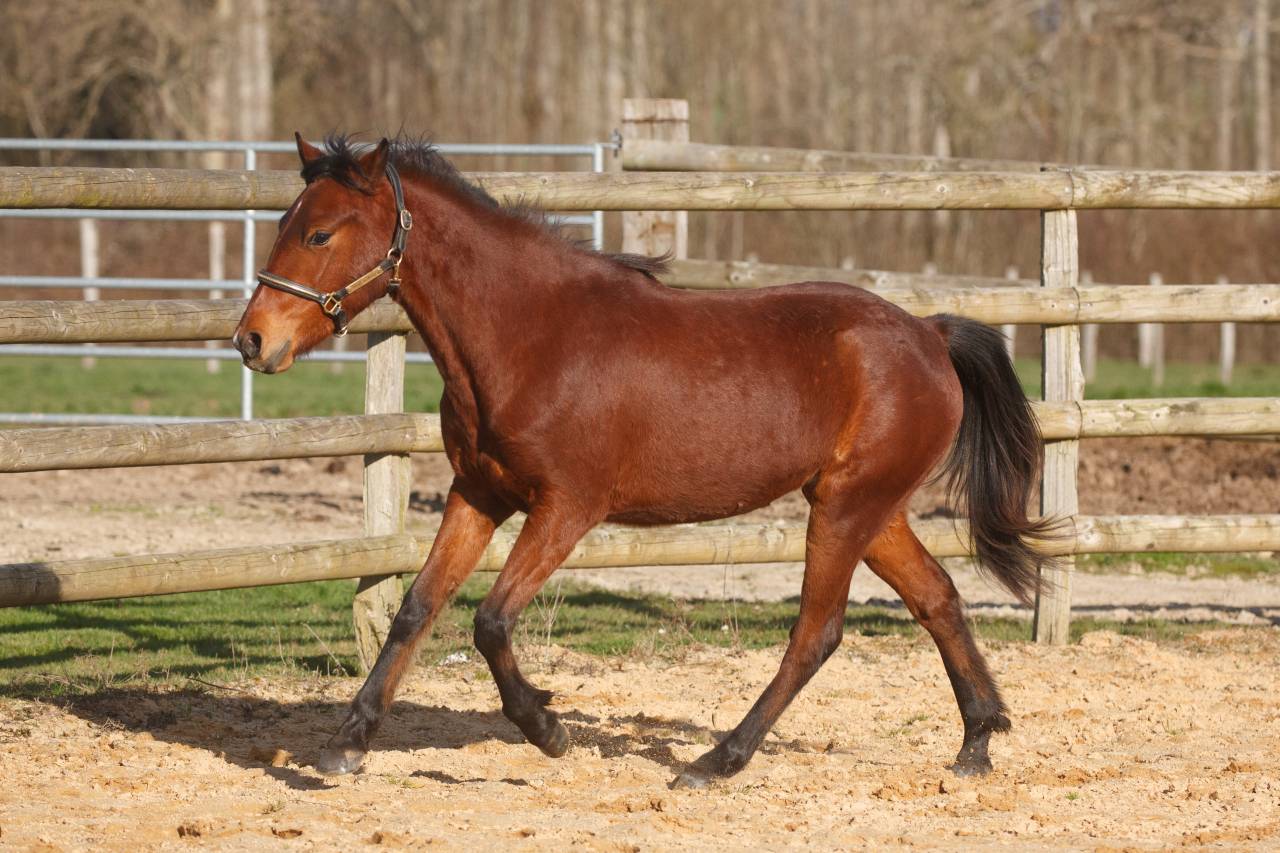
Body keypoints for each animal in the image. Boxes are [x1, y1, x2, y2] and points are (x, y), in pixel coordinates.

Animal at [234, 134, 1055, 788]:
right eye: (284, 225)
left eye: (320, 234)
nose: (252, 340)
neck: (529, 335)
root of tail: (927, 332)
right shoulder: (478, 493)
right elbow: (415, 609)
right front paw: (346, 745)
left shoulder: (568, 505)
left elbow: (492, 622)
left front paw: (549, 730)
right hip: (871, 509)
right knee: (938, 598)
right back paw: (977, 743)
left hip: (846, 508)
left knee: (816, 633)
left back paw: (715, 762)